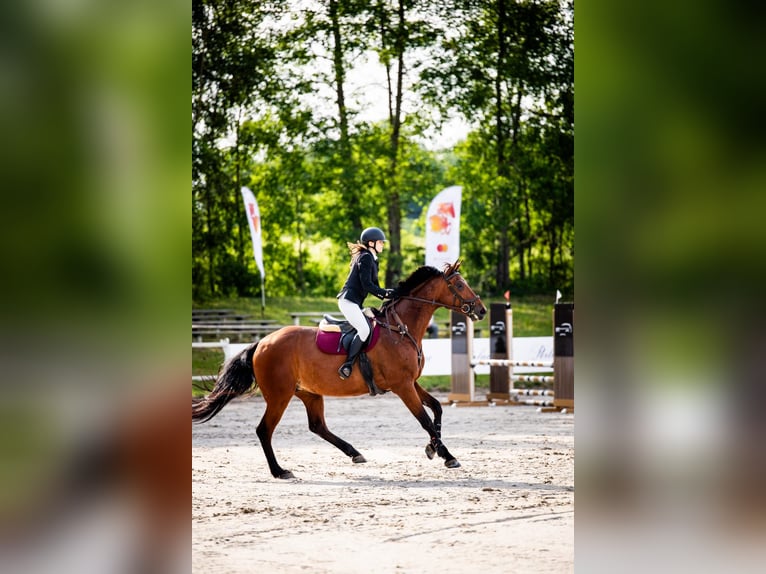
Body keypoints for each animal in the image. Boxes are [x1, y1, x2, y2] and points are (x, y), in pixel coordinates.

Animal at [195, 262, 488, 482]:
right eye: (459, 285)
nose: (482, 310)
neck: (401, 329)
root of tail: (262, 342)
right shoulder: (402, 386)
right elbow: (424, 419)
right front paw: (447, 455)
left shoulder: (411, 382)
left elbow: (437, 408)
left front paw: (433, 448)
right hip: (279, 395)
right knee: (264, 430)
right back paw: (280, 471)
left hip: (309, 392)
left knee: (317, 426)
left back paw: (354, 452)